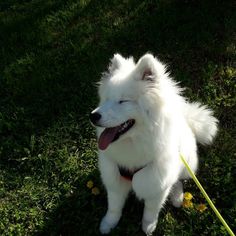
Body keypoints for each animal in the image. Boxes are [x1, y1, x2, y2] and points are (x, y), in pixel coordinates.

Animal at [90, 52, 218, 235]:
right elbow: (114, 206)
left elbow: (151, 210)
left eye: (123, 101)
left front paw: (148, 227)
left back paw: (177, 198)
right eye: (106, 99)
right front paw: (108, 224)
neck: (134, 144)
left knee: (178, 182)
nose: (93, 116)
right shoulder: (114, 177)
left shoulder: (157, 184)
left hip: (186, 164)